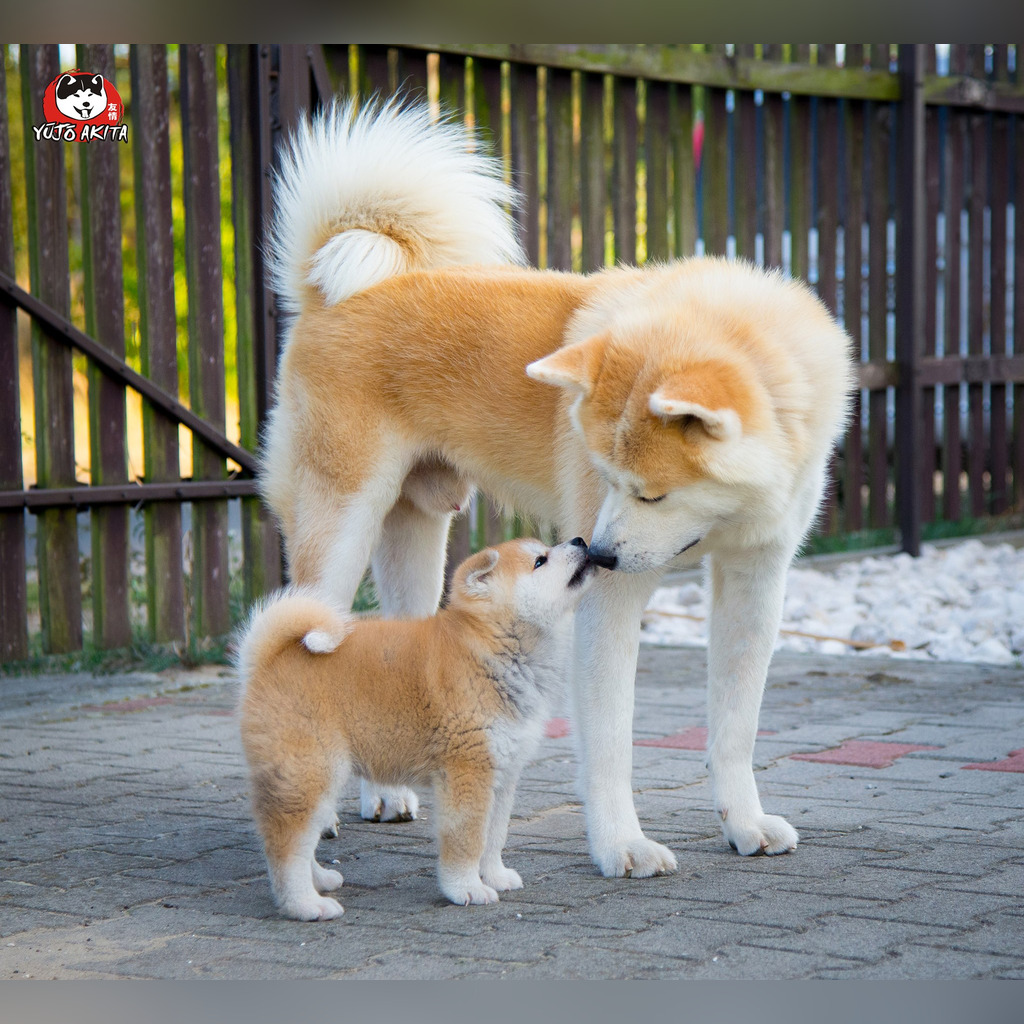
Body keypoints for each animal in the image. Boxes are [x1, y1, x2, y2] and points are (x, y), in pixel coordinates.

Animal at [236, 536, 598, 921]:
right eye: (540, 561)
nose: (579, 539)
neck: (493, 649)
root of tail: (267, 660)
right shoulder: (467, 772)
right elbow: (467, 840)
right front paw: (466, 888)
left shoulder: (502, 775)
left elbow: (494, 836)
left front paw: (495, 876)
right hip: (311, 771)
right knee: (287, 845)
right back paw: (306, 904)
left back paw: (319, 879)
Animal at [262, 97, 856, 880]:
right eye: (605, 478)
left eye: (651, 494)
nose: (596, 553)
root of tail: (333, 290)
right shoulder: (608, 607)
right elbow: (609, 744)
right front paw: (622, 844)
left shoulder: (756, 582)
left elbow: (735, 728)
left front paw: (745, 822)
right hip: (340, 533)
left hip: (416, 532)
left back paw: (386, 794)